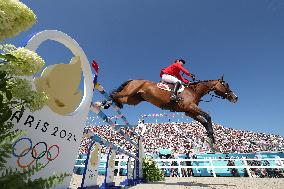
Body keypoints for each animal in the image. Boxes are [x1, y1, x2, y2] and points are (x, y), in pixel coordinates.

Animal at [104, 75, 237, 148]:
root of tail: (133, 80)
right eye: (226, 85)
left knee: (118, 97)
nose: (235, 98)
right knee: (114, 94)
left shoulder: (189, 111)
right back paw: (104, 103)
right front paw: (211, 136)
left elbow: (204, 121)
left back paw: (111, 104)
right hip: (129, 92)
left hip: (132, 99)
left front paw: (210, 136)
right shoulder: (191, 107)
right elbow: (208, 116)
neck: (194, 91)